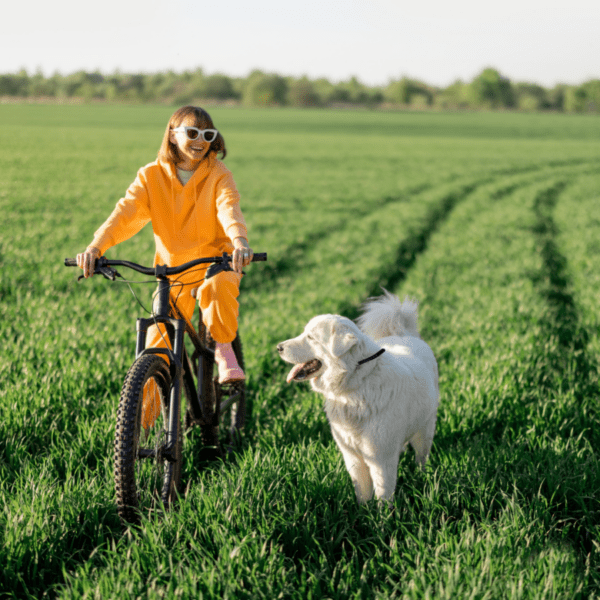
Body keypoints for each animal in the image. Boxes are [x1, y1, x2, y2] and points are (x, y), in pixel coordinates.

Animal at [278, 290, 440, 502]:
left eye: (311, 337)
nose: (278, 347)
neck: (354, 385)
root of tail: (404, 334)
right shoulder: (353, 457)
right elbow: (362, 492)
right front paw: (363, 510)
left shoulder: (380, 459)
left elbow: (383, 494)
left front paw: (383, 512)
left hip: (425, 430)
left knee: (421, 457)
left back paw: (422, 475)